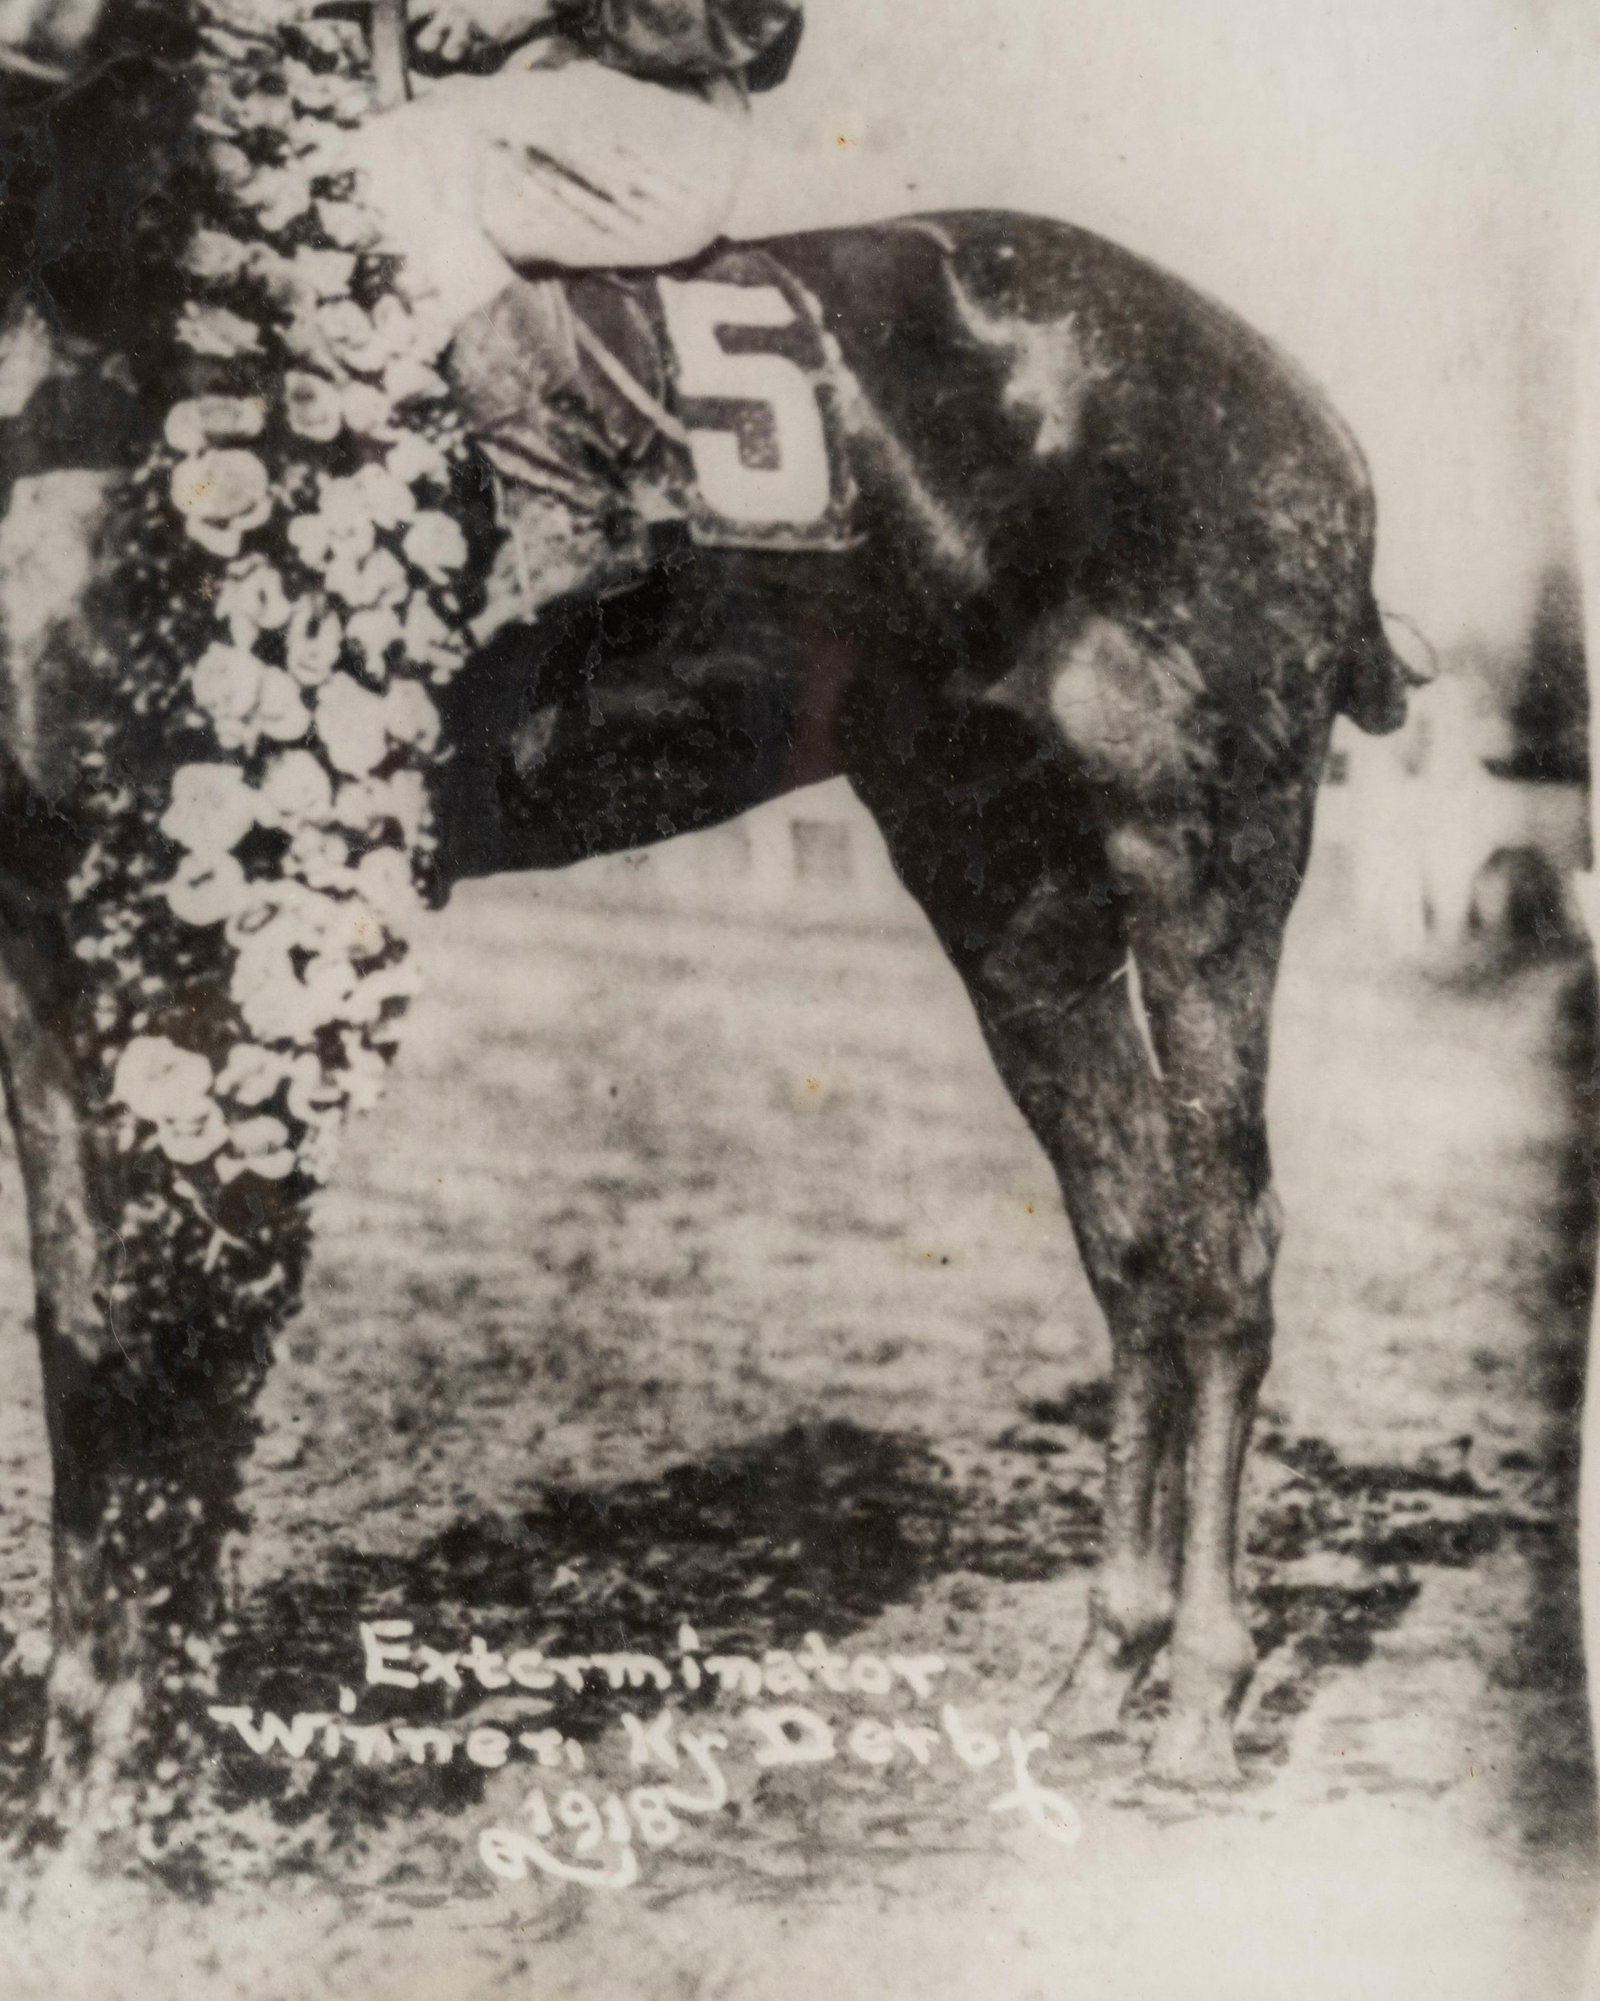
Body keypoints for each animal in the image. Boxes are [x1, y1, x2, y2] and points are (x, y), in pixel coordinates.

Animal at [0, 0, 1413, 1851]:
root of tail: (1298, 397)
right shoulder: (46, 913)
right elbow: (86, 1310)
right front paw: (90, 1767)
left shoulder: (182, 899)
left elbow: (143, 1327)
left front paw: (121, 1785)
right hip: (1005, 884)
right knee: (1138, 1241)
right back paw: (1105, 1662)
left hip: (1206, 850)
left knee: (1231, 1244)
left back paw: (1198, 1697)